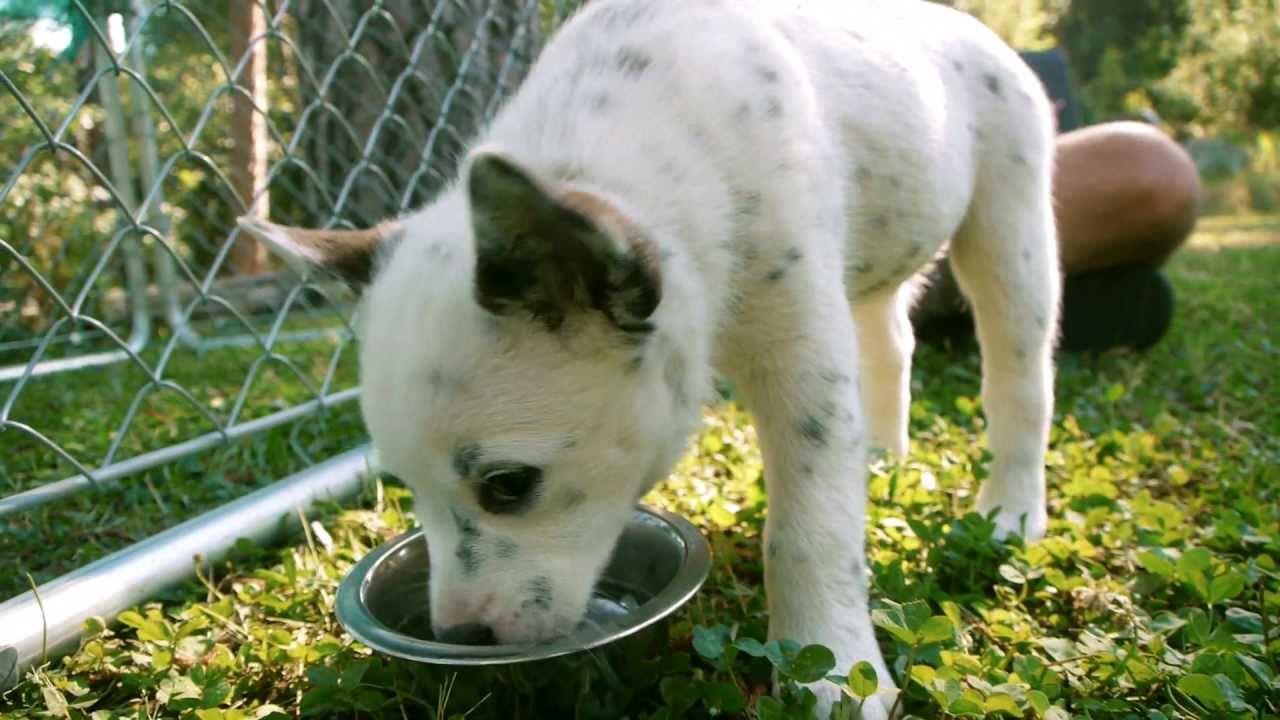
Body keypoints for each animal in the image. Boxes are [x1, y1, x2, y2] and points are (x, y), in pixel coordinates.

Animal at [240, 0, 1059, 712]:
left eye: (509, 486)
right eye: (407, 484)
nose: (462, 635)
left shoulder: (801, 353)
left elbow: (809, 529)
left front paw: (833, 669)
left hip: (1012, 224)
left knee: (1019, 376)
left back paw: (1011, 509)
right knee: (891, 338)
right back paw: (884, 452)